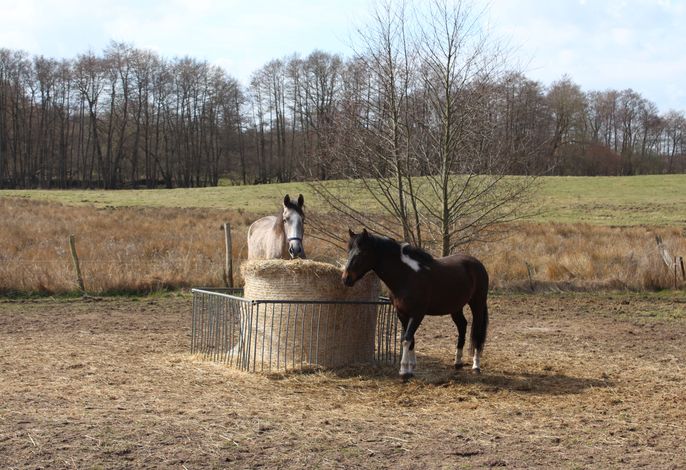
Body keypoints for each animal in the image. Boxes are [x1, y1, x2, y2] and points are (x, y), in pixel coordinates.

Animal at [341, 228, 489, 379]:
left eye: (362, 252)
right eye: (349, 251)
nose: (346, 278)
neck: (406, 276)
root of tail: (476, 263)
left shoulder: (417, 314)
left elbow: (406, 339)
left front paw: (403, 372)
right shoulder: (401, 313)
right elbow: (410, 339)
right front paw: (410, 369)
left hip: (477, 303)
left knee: (477, 330)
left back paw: (476, 366)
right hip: (455, 307)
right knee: (462, 326)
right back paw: (458, 362)